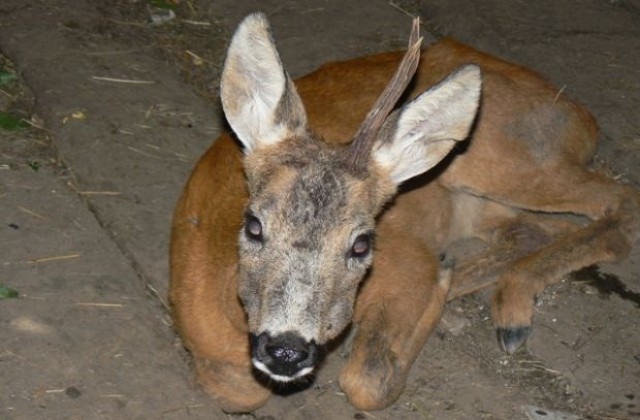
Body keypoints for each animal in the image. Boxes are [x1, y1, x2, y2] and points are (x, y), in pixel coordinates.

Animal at [170, 13, 640, 414]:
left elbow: (367, 381)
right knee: (539, 228)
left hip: (509, 161)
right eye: (253, 225)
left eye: (362, 244)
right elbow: (238, 391)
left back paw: (505, 310)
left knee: (620, 201)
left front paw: (439, 290)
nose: (286, 349)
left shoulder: (408, 263)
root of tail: (583, 116)